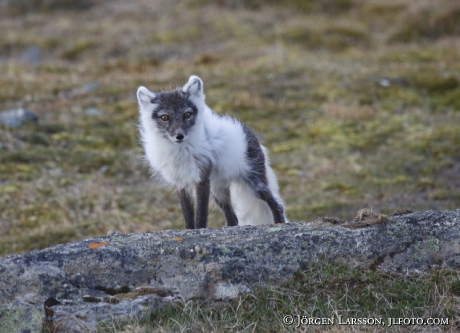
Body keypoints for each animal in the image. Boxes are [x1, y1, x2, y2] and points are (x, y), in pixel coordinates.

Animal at [137, 75, 288, 228]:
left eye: (187, 115)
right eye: (165, 117)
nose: (179, 136)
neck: (179, 151)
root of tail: (249, 132)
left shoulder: (202, 178)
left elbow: (201, 214)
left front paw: (199, 229)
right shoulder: (180, 182)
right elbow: (187, 214)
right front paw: (190, 230)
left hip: (255, 184)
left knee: (276, 203)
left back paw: (280, 223)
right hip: (218, 192)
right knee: (233, 218)